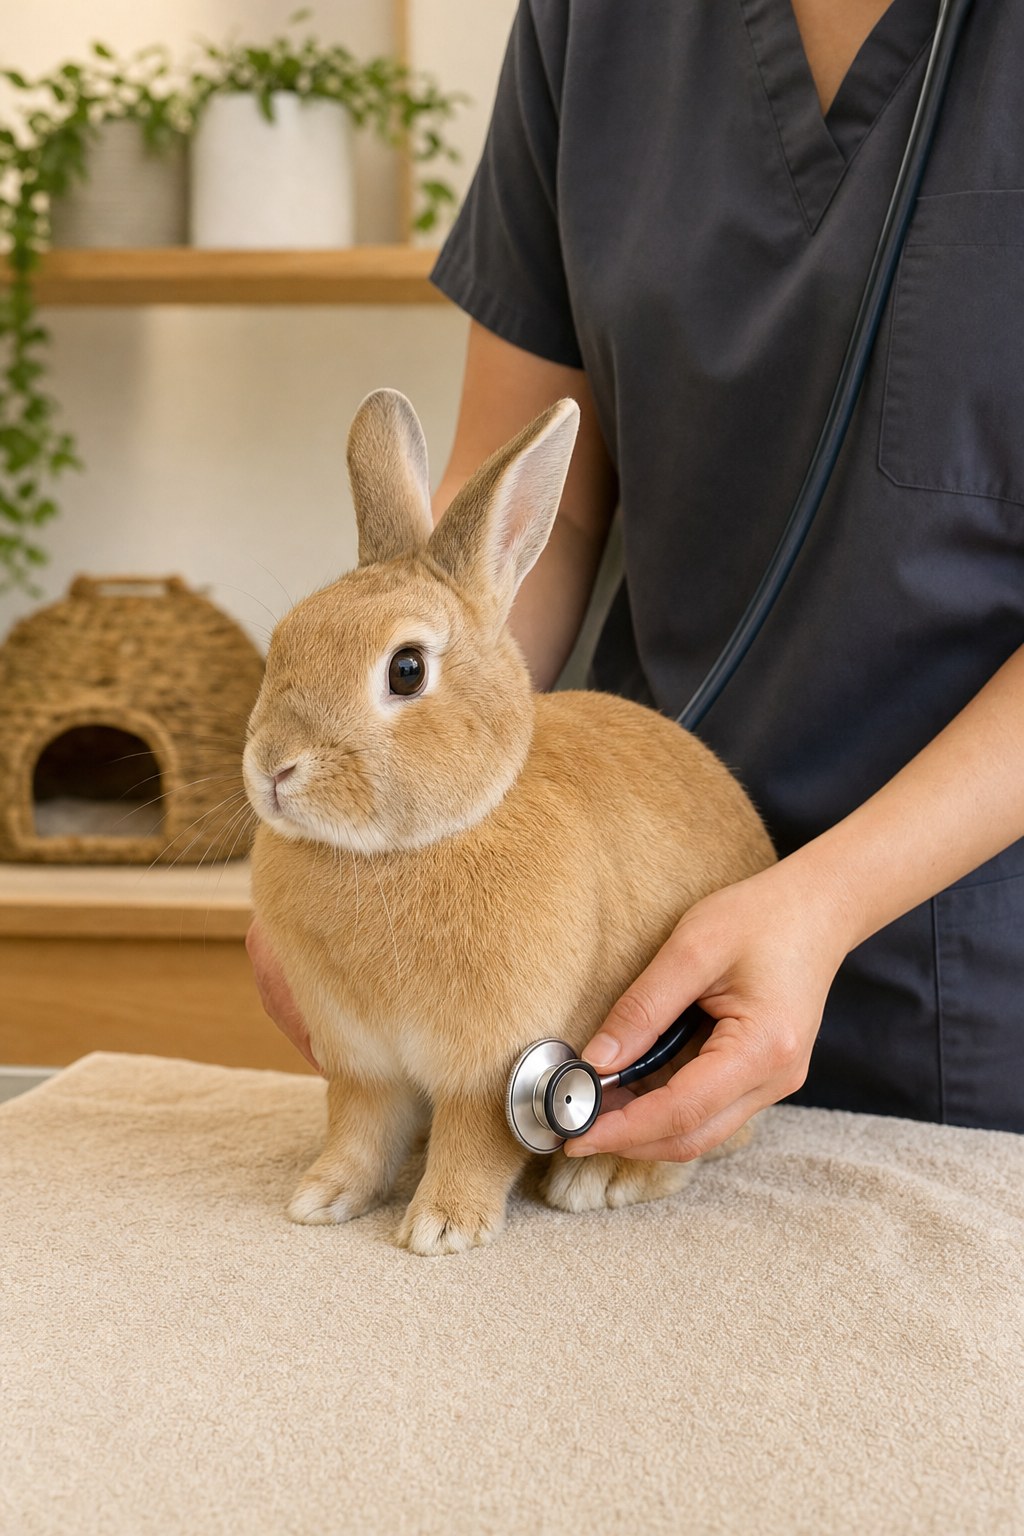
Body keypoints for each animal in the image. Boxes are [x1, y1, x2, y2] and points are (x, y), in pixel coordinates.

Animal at [243, 389, 776, 1257]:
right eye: (284, 639)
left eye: (406, 669)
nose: (274, 768)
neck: (417, 843)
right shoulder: (362, 1063)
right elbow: (358, 1130)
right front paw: (323, 1198)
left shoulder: (494, 1063)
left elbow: (477, 1141)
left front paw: (442, 1226)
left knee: (699, 1142)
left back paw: (601, 1177)